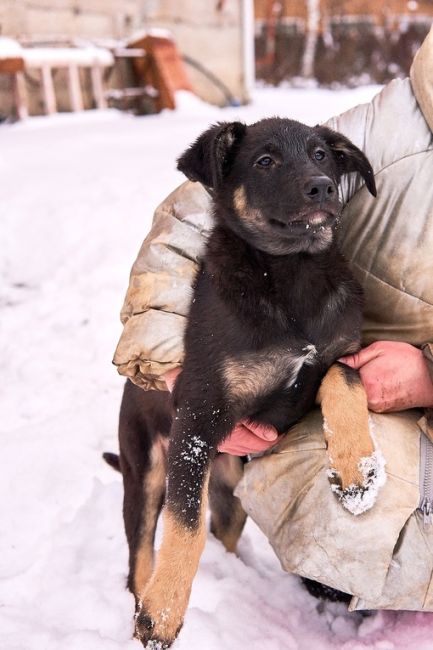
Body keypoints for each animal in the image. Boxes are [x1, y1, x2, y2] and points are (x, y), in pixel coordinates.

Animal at [119, 119, 382, 644]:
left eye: (322, 155)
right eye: (264, 161)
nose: (323, 187)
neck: (292, 271)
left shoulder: (332, 362)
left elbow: (344, 380)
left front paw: (355, 469)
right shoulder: (197, 418)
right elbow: (184, 523)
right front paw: (164, 611)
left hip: (231, 488)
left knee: (223, 530)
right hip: (146, 473)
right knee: (141, 557)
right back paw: (144, 605)